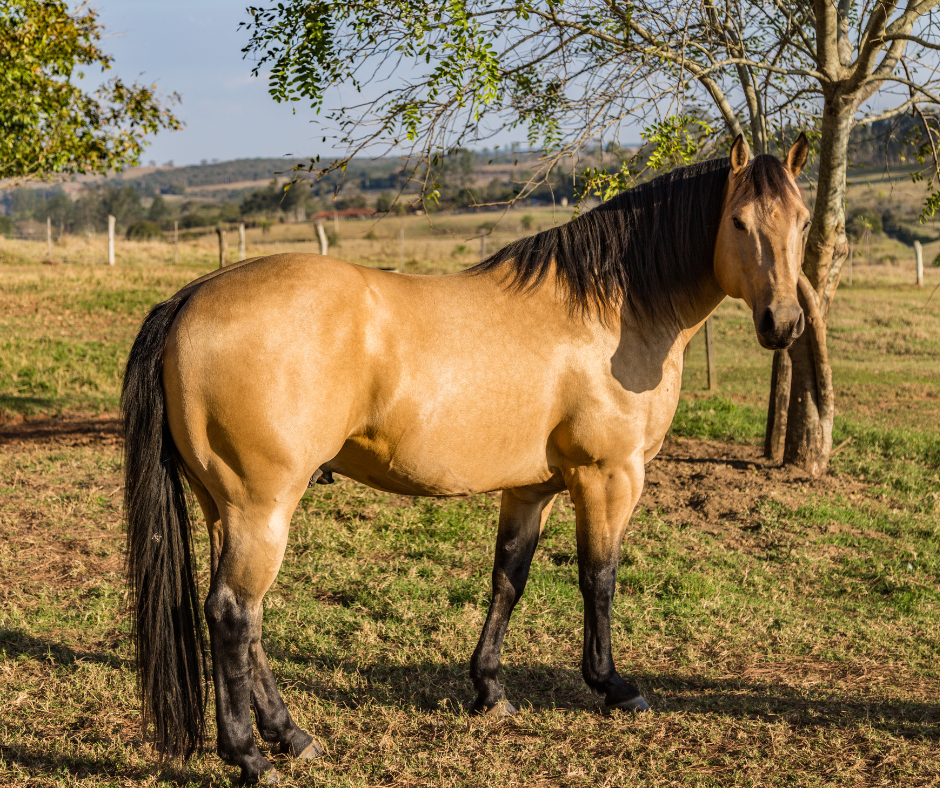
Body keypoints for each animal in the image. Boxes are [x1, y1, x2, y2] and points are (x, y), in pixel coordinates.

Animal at [123, 135, 808, 780]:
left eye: (801, 221)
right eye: (739, 221)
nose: (784, 323)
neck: (612, 312)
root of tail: (190, 300)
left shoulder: (531, 488)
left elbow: (509, 579)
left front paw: (490, 690)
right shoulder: (609, 477)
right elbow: (599, 578)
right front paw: (613, 686)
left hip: (225, 509)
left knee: (249, 620)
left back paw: (291, 736)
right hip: (261, 508)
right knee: (233, 614)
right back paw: (249, 756)